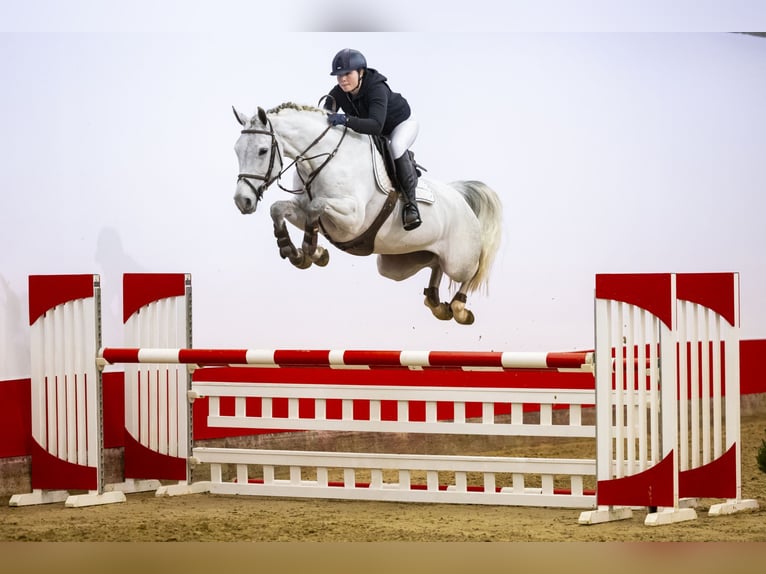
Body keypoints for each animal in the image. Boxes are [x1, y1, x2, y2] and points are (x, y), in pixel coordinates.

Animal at [234, 102, 504, 326]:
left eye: (262, 150)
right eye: (236, 150)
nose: (242, 201)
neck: (323, 160)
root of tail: (459, 195)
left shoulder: (352, 220)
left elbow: (316, 206)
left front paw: (310, 249)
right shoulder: (303, 209)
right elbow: (278, 208)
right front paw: (300, 252)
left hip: (459, 260)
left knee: (471, 271)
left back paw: (459, 308)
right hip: (399, 265)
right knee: (435, 264)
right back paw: (437, 304)